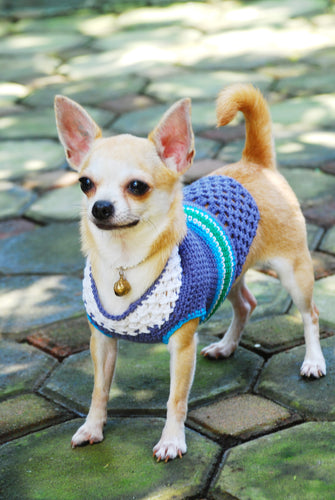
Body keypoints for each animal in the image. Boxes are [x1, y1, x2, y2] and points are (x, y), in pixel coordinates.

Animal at [54, 82, 326, 460]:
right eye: (85, 183)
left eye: (137, 186)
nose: (100, 207)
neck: (126, 262)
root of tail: (255, 162)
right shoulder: (103, 341)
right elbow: (99, 390)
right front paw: (92, 428)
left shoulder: (181, 346)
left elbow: (176, 398)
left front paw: (171, 440)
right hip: (232, 272)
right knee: (247, 304)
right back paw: (226, 346)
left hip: (294, 273)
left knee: (310, 314)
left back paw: (314, 362)